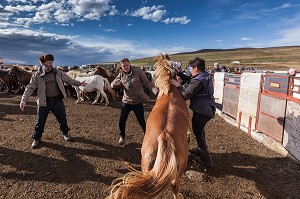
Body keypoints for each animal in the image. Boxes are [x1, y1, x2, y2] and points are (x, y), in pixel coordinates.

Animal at [106, 53, 189, 198]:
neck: (169, 92)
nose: (180, 66)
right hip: (179, 168)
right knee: (174, 185)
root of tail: (165, 135)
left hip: (146, 164)